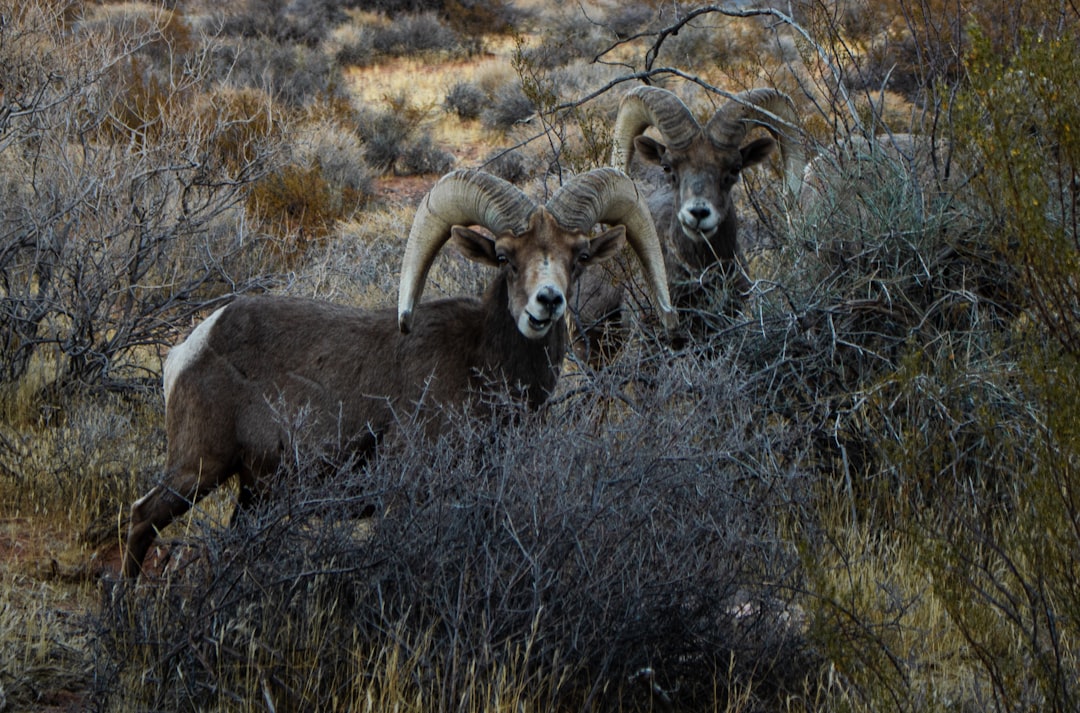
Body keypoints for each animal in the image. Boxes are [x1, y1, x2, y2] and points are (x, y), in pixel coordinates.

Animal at [122, 167, 677, 579]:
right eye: (504, 256)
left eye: (578, 256)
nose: (548, 302)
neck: (481, 368)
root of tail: (191, 347)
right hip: (198, 469)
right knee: (141, 520)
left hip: (255, 493)